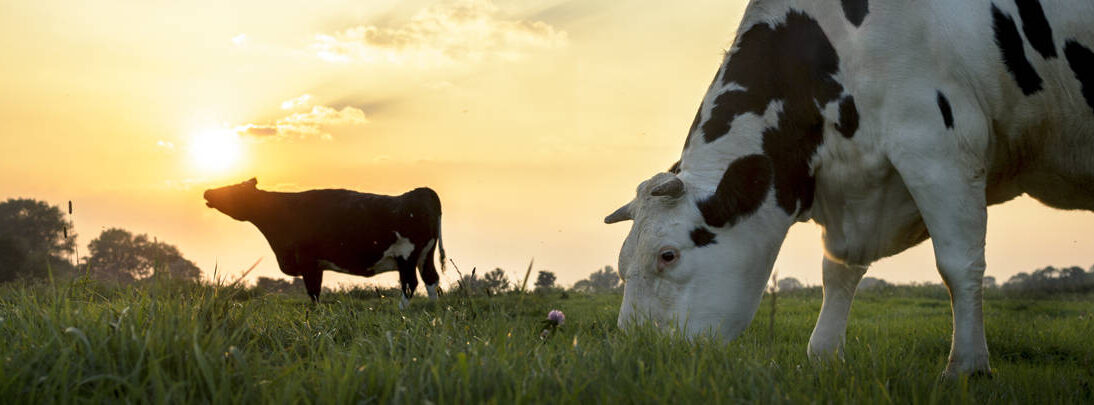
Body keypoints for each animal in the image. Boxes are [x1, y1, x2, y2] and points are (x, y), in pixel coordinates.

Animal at [203, 178, 446, 306]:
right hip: (426, 254)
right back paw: (432, 309)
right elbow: (316, 292)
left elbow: (313, 293)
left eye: (234, 188)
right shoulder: (317, 265)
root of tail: (422, 192)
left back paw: (402, 311)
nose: (207, 192)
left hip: (407, 256)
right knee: (431, 279)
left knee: (410, 284)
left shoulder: (308, 262)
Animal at [608, 0, 1094, 376]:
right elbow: (837, 272)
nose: (639, 352)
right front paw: (824, 355)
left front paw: (968, 368)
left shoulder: (940, 144)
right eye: (621, 265)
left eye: (667, 256)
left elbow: (959, 264)